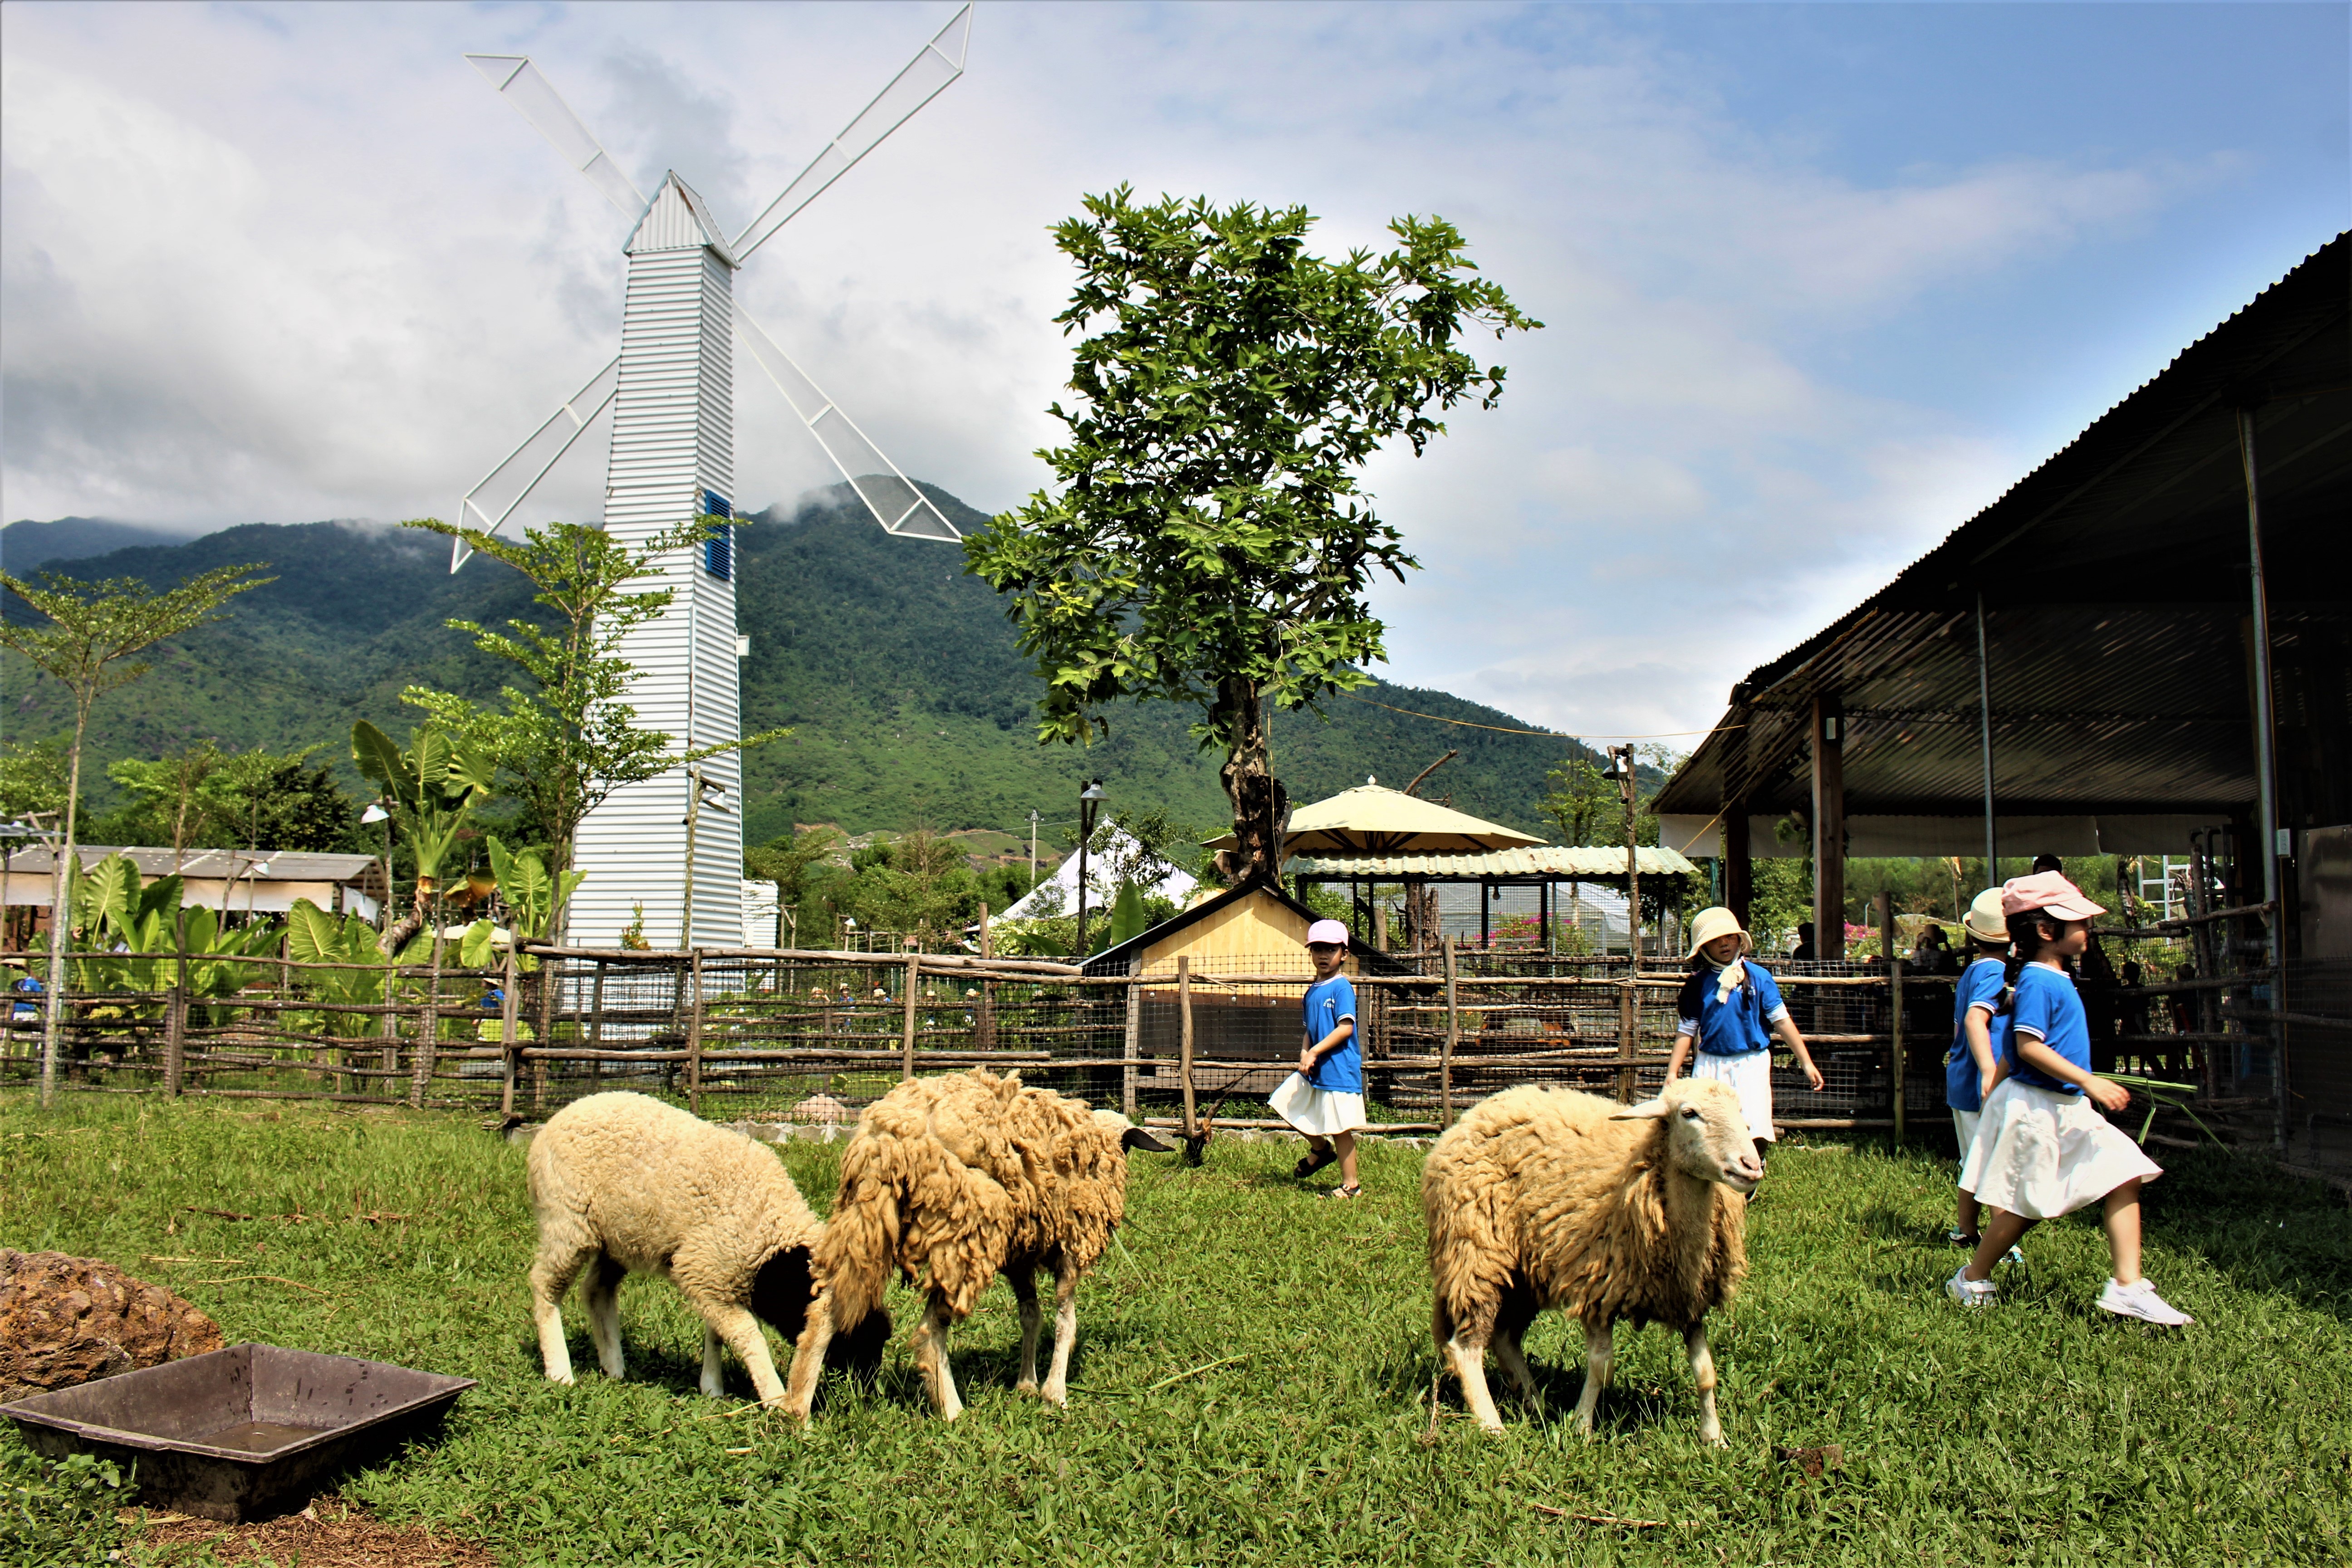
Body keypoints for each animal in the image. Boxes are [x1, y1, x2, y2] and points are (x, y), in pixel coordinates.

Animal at [524, 1091, 884, 1410]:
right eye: (849, 1339)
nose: (866, 1392)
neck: (770, 1240)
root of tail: (559, 1118)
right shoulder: (702, 1270)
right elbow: (748, 1335)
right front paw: (774, 1397)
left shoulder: (717, 1273)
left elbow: (718, 1334)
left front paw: (712, 1387)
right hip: (566, 1220)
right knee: (544, 1286)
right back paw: (560, 1371)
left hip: (618, 1237)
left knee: (596, 1291)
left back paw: (614, 1366)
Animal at [785, 1067, 1171, 1420]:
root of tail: (888, 1140)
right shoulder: (1071, 1242)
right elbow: (1066, 1320)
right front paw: (1055, 1394)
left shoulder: (1020, 1256)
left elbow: (1031, 1316)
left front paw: (1026, 1384)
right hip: (961, 1233)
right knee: (930, 1330)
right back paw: (952, 1410)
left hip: (865, 1224)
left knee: (826, 1309)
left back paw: (797, 1411)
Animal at [1411, 1081, 1769, 1448]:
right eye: (1689, 1113)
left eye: (1740, 1111)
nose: (1752, 1165)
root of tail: (1469, 1117)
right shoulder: (1598, 1287)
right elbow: (1600, 1367)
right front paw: (1582, 1427)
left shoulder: (1689, 1300)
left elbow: (1706, 1373)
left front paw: (1714, 1439)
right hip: (1476, 1254)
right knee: (1466, 1348)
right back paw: (1492, 1424)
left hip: (1523, 1272)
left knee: (1505, 1338)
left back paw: (1535, 1402)